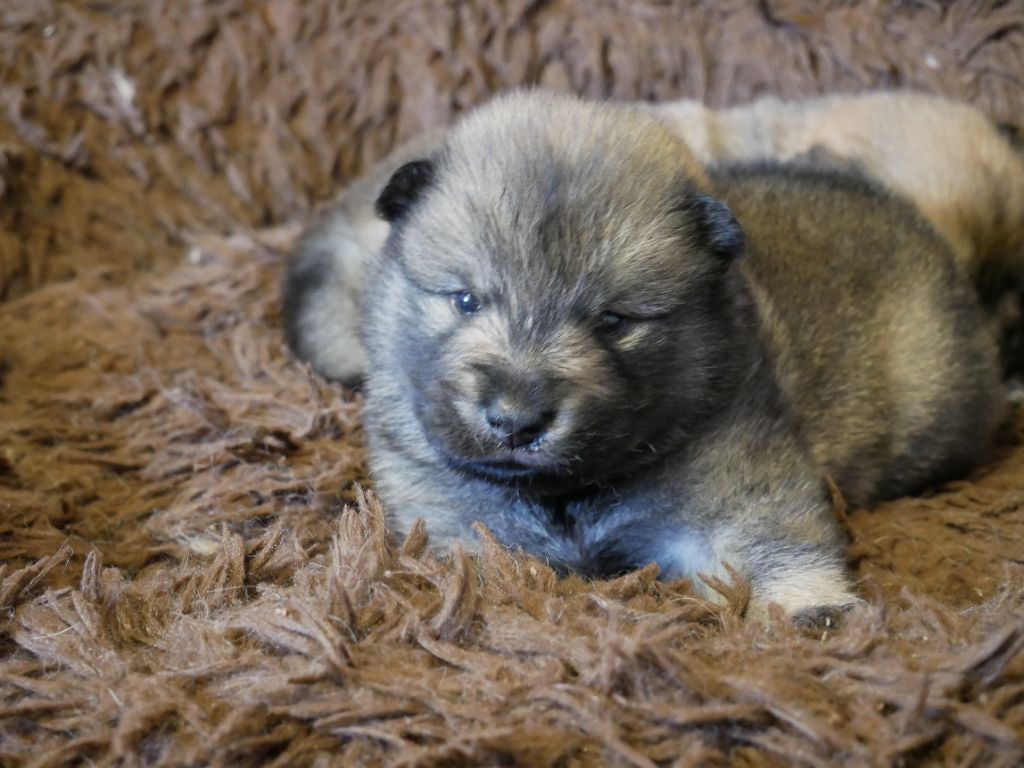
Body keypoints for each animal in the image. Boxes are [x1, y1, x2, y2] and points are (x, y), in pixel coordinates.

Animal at [284, 90, 1011, 622]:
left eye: (614, 321)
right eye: (465, 299)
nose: (517, 420)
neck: (574, 490)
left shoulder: (740, 479)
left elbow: (776, 538)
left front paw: (811, 607)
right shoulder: (449, 515)